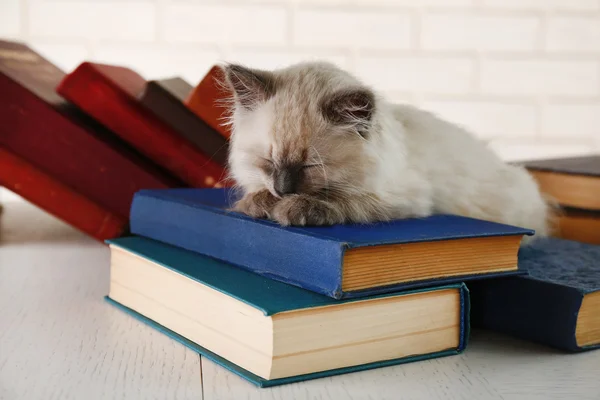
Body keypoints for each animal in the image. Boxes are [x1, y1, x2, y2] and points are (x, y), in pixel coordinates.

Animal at [218, 61, 556, 242]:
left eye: (309, 166)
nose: (283, 189)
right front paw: (259, 202)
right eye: (268, 162)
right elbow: (255, 196)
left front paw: (294, 208)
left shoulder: (407, 198)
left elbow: (344, 200)